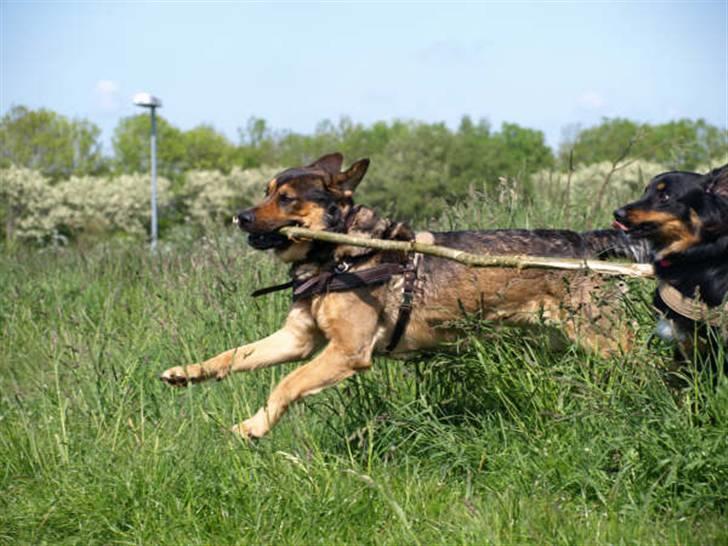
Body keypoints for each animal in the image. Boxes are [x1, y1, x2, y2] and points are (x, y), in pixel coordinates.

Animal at [161, 153, 648, 438]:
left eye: (285, 198)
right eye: (265, 192)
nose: (239, 217)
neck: (338, 256)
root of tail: (588, 242)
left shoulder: (346, 352)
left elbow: (286, 383)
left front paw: (255, 426)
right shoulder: (297, 340)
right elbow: (232, 356)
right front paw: (188, 372)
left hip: (607, 341)